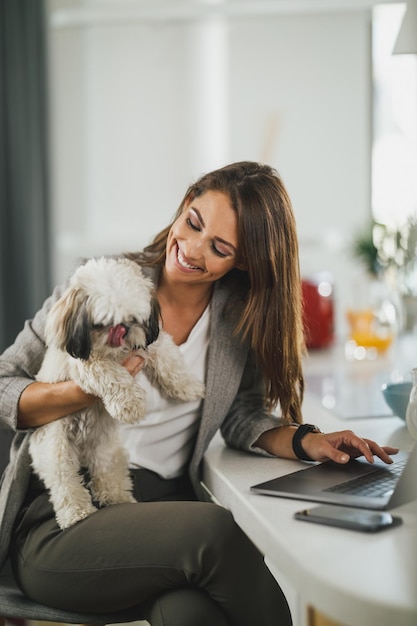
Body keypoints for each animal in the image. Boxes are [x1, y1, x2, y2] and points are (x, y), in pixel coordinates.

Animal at [29, 258, 205, 528]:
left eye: (133, 319)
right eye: (102, 324)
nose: (123, 332)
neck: (117, 354)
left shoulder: (151, 342)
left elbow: (169, 359)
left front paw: (188, 386)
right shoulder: (88, 364)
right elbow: (114, 377)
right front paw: (131, 404)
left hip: (107, 449)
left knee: (106, 475)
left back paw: (117, 498)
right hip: (56, 450)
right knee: (65, 482)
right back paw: (76, 513)